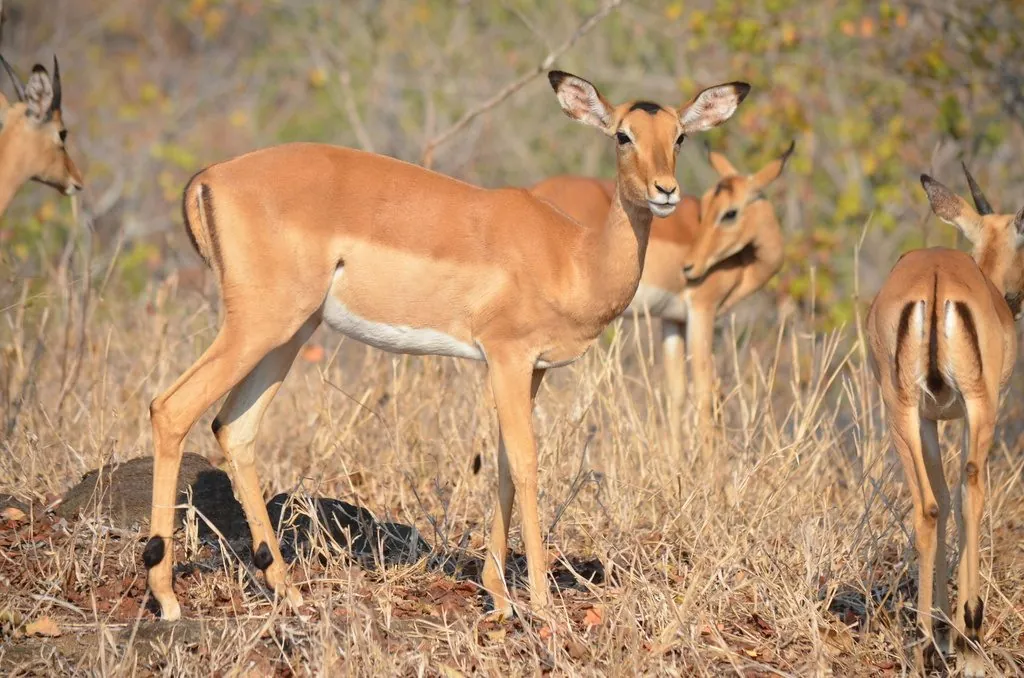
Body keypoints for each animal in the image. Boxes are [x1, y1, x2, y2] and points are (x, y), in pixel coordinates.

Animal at [143, 71, 750, 620]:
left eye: (679, 136)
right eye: (623, 134)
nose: (665, 192)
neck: (573, 255)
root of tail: (211, 177)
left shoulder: (531, 370)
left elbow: (502, 463)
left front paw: (499, 597)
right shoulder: (506, 358)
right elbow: (526, 463)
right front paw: (541, 605)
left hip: (291, 333)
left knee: (235, 427)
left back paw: (287, 592)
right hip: (259, 324)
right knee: (171, 407)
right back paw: (167, 597)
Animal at [529, 142, 792, 431]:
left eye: (729, 212)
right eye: (708, 208)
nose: (689, 266)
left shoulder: (671, 319)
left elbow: (676, 393)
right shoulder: (702, 309)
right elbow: (703, 390)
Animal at [866, 166, 1023, 676]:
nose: (1015, 298)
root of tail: (935, 281)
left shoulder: (929, 420)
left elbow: (943, 500)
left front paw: (939, 627)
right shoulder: (976, 411)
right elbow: (964, 495)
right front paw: (962, 631)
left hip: (899, 411)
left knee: (927, 508)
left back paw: (926, 644)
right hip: (979, 405)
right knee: (972, 491)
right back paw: (969, 637)